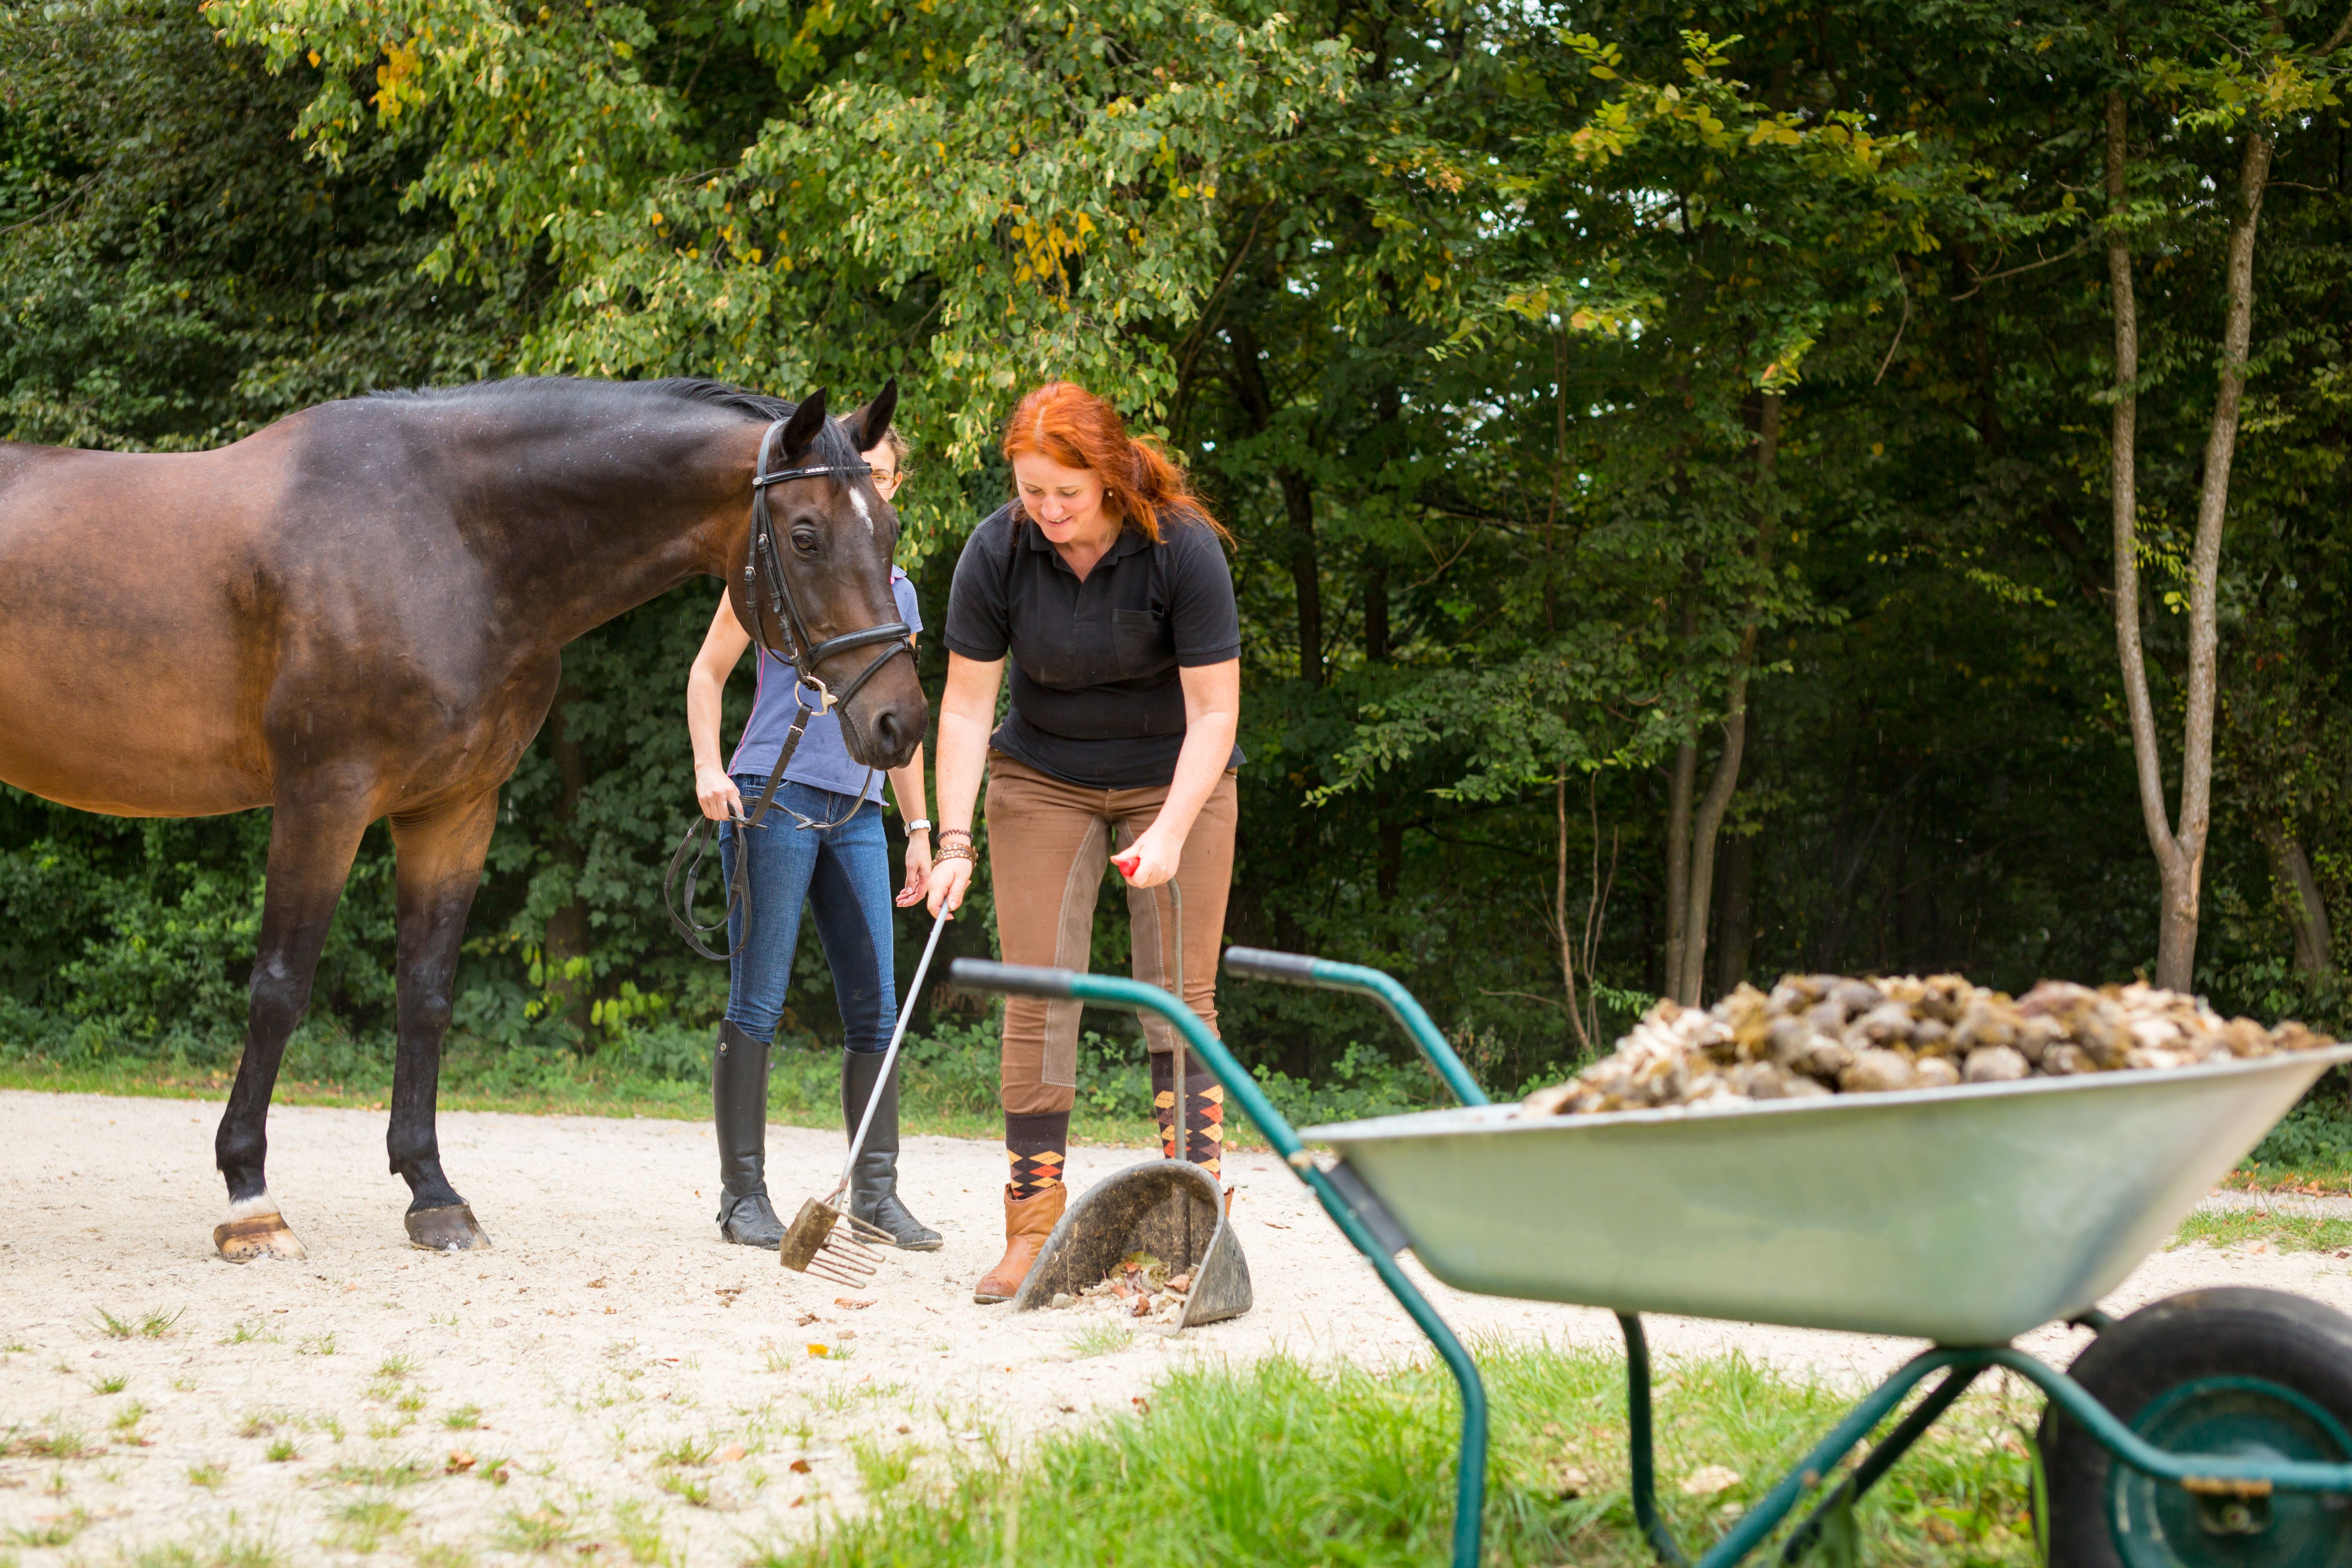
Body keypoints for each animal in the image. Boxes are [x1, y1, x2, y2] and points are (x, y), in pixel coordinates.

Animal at [0, 376, 924, 1259]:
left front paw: (433, 1196)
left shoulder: (454, 811)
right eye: (804, 536)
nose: (900, 723)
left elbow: (427, 994)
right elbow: (279, 990)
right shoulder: (324, 798)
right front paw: (251, 1201)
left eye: (887, 529)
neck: (448, 540)